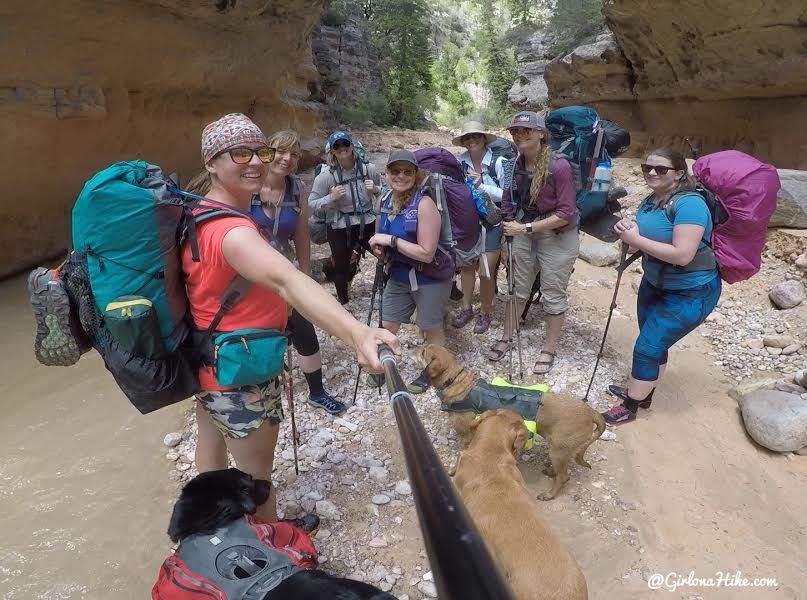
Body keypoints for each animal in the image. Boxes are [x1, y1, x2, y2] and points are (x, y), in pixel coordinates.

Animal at [164, 468, 394, 600]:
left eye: (250, 477)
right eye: (249, 483)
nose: (268, 483)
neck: (208, 521)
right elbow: (290, 526)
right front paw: (306, 521)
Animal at [410, 344, 608, 500]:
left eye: (423, 351)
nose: (411, 347)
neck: (456, 382)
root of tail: (590, 412)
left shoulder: (465, 437)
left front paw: (452, 471)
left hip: (558, 450)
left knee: (563, 477)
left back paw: (549, 494)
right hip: (559, 451)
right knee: (562, 471)